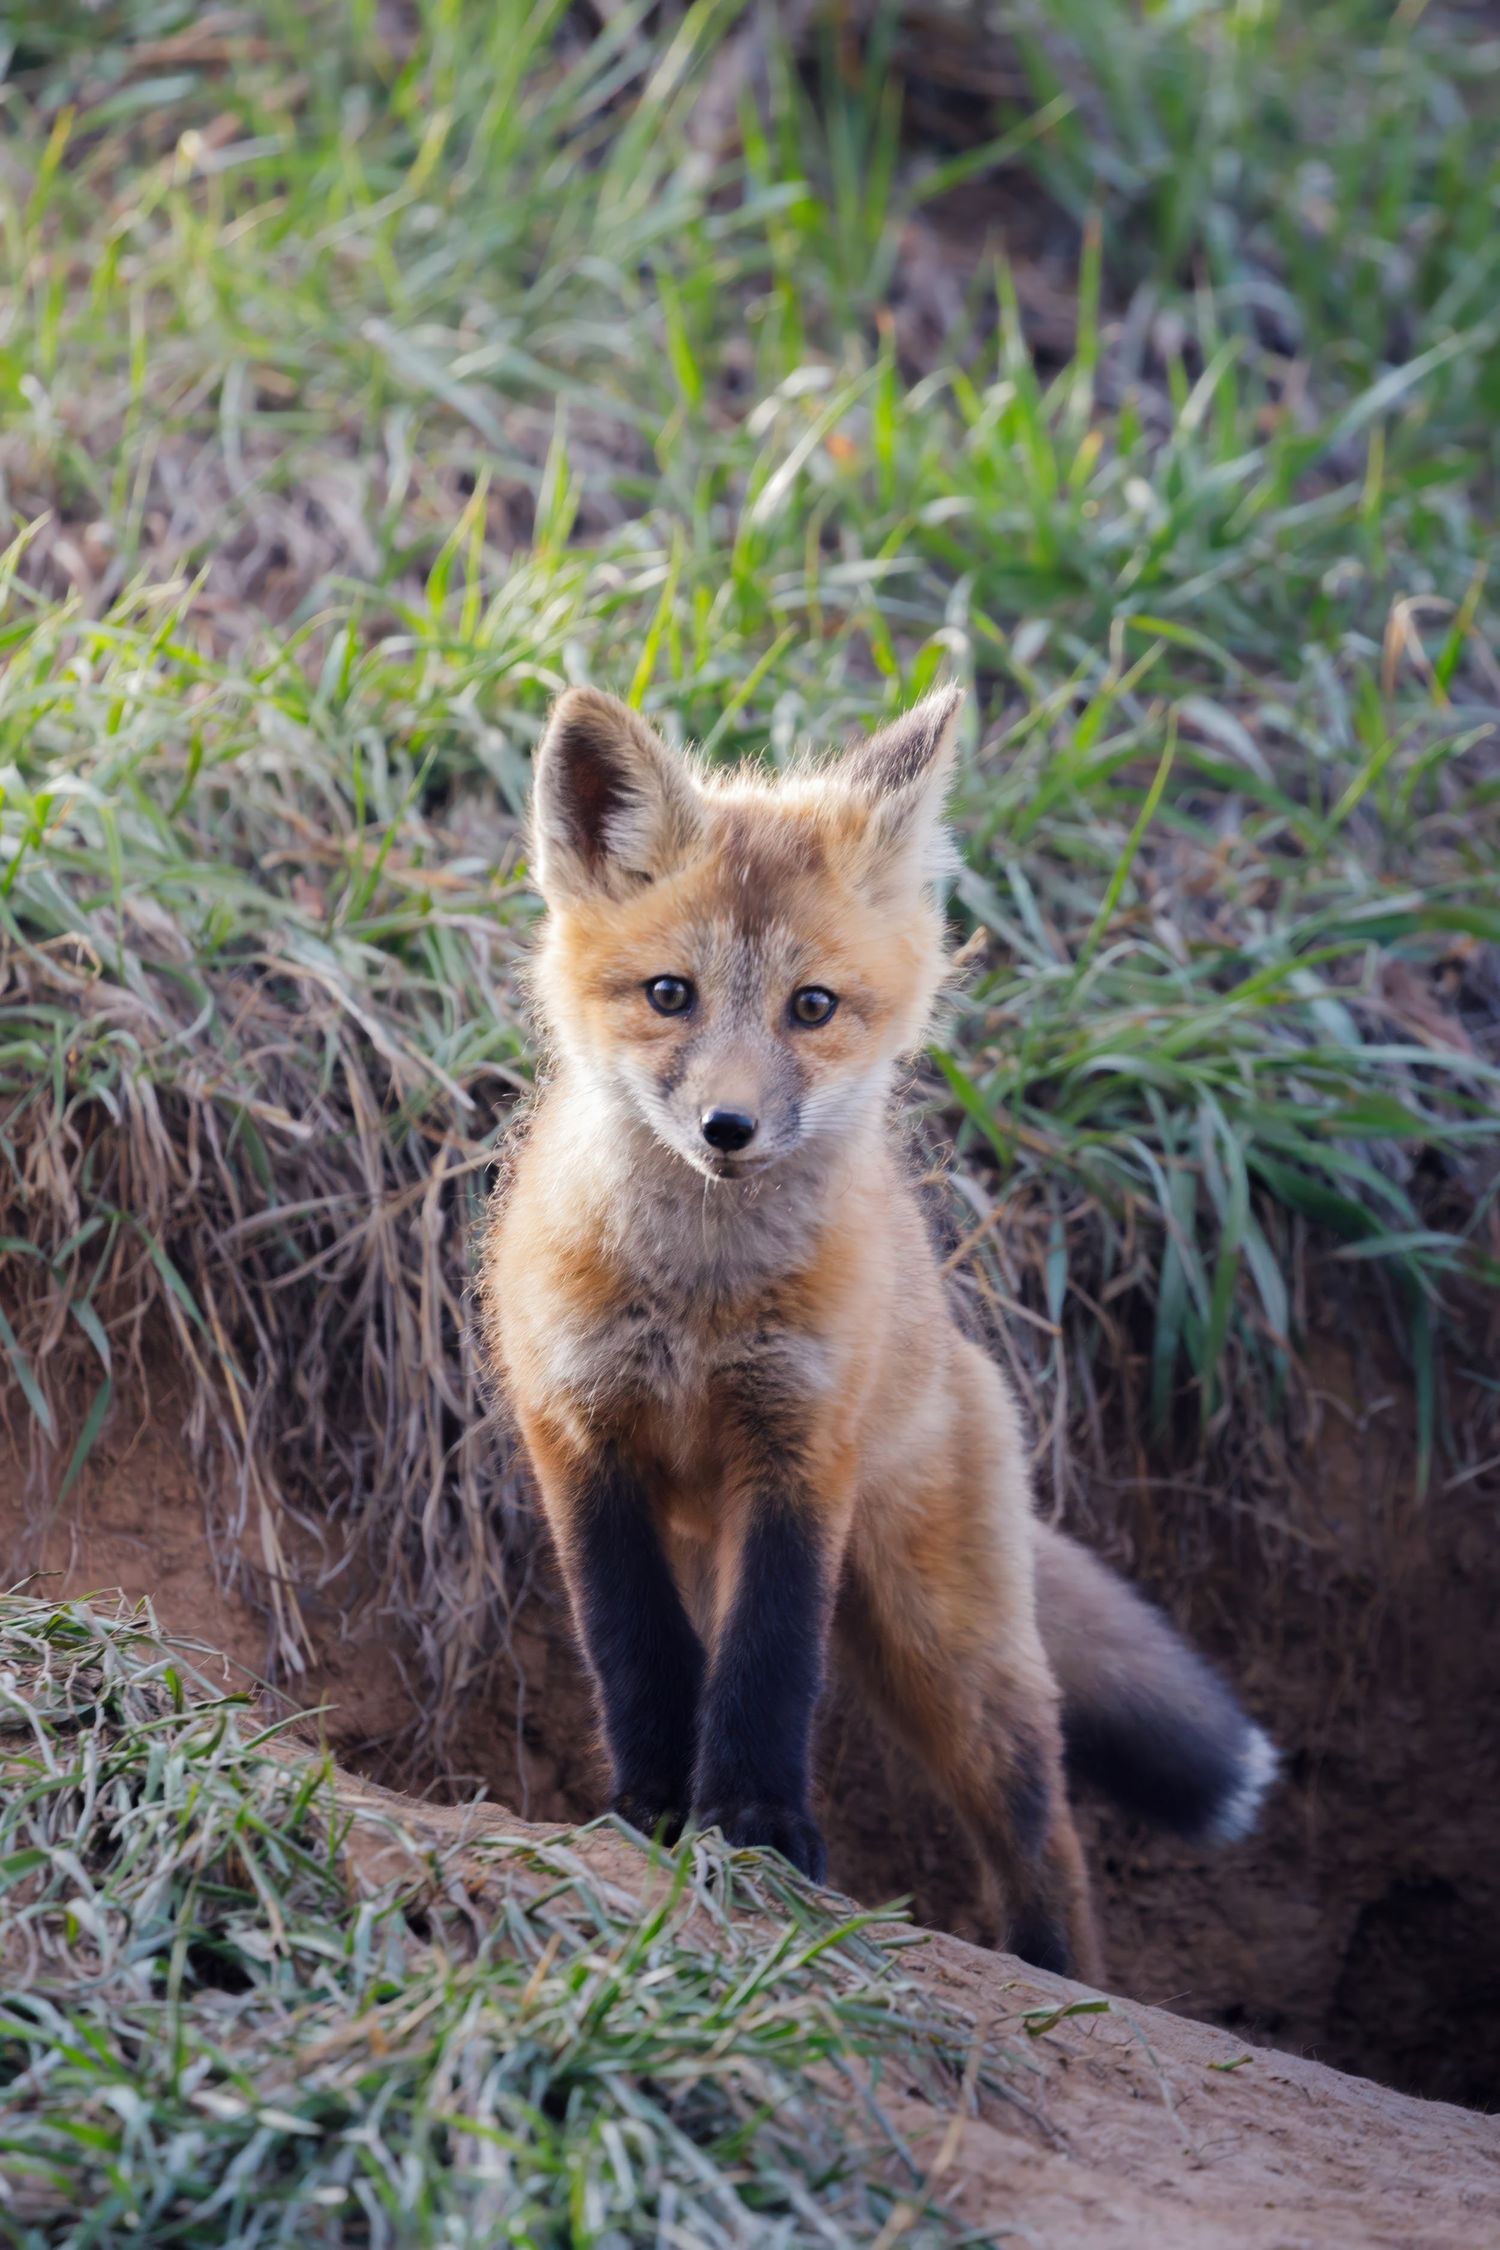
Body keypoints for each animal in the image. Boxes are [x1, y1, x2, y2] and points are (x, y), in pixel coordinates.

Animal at [480, 682, 1276, 1982]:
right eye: (669, 994)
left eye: (811, 1007)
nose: (729, 1128)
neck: (701, 1301)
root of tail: (962, 1362)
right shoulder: (581, 1440)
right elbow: (637, 1652)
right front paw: (651, 1813)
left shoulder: (803, 1450)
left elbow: (768, 1667)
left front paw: (756, 1830)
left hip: (946, 1652)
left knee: (1042, 1831)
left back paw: (1054, 1973)